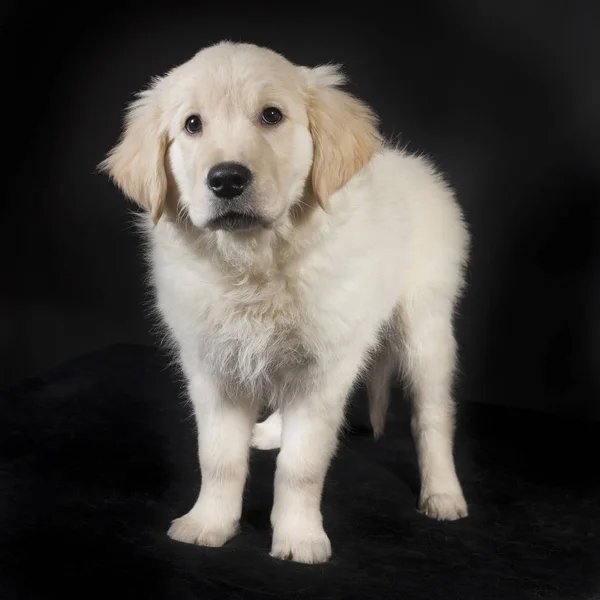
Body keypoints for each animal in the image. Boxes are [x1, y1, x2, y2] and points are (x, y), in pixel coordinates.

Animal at [101, 41, 472, 564]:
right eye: (192, 124)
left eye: (271, 116)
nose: (227, 180)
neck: (256, 262)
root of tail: (414, 165)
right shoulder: (213, 368)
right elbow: (218, 459)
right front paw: (209, 523)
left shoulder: (324, 368)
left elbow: (302, 466)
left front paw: (299, 537)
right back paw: (272, 430)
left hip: (425, 327)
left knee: (433, 417)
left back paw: (442, 493)